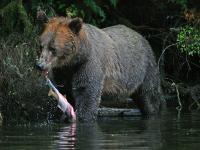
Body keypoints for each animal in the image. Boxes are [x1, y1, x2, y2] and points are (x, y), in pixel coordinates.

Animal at [36, 15, 164, 121]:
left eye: (53, 48)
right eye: (41, 46)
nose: (40, 65)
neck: (76, 59)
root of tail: (142, 36)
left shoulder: (89, 64)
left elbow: (87, 92)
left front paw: (82, 116)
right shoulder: (64, 71)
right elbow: (65, 90)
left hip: (145, 68)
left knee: (150, 96)